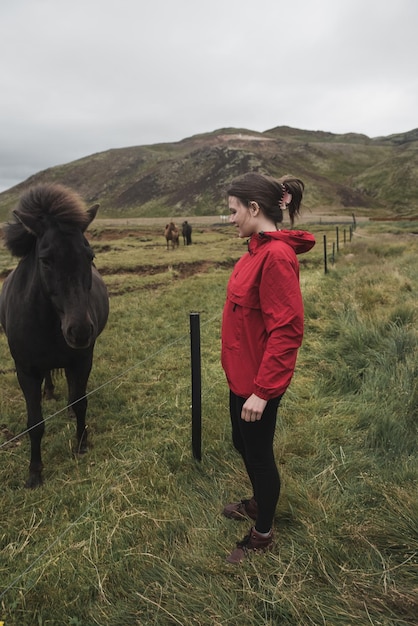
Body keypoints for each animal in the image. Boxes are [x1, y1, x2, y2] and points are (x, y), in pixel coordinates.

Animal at [0, 183, 109, 486]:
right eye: (45, 260)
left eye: (90, 256)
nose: (80, 330)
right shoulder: (25, 371)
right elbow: (35, 423)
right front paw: (35, 472)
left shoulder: (82, 360)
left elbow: (81, 401)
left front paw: (81, 443)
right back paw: (48, 391)